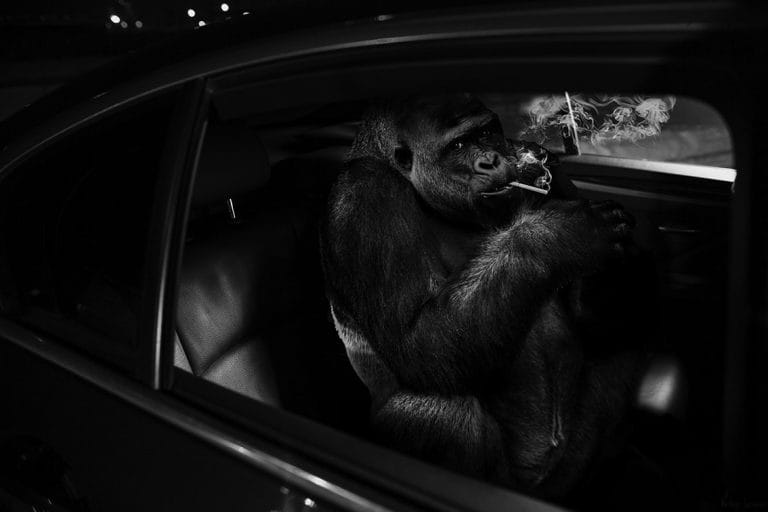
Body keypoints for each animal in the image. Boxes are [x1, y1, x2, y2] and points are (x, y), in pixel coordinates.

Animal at [319, 94, 651, 500]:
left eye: (486, 133)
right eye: (459, 145)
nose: (491, 161)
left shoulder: (547, 166)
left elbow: (589, 316)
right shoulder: (365, 196)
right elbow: (419, 342)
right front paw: (559, 235)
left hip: (564, 474)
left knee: (622, 345)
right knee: (441, 414)